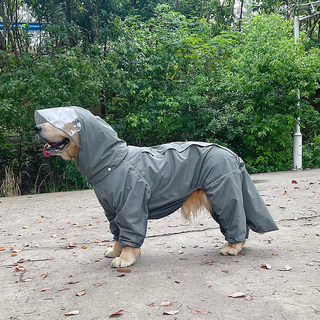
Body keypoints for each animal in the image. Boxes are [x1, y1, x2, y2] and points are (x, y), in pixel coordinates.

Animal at [35, 107, 278, 268]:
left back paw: (233, 246)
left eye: (59, 122)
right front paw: (115, 250)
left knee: (235, 217)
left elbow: (129, 231)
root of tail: (232, 154)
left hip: (222, 192)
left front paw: (126, 257)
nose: (36, 127)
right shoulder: (112, 210)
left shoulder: (130, 204)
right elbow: (116, 232)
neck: (112, 161)